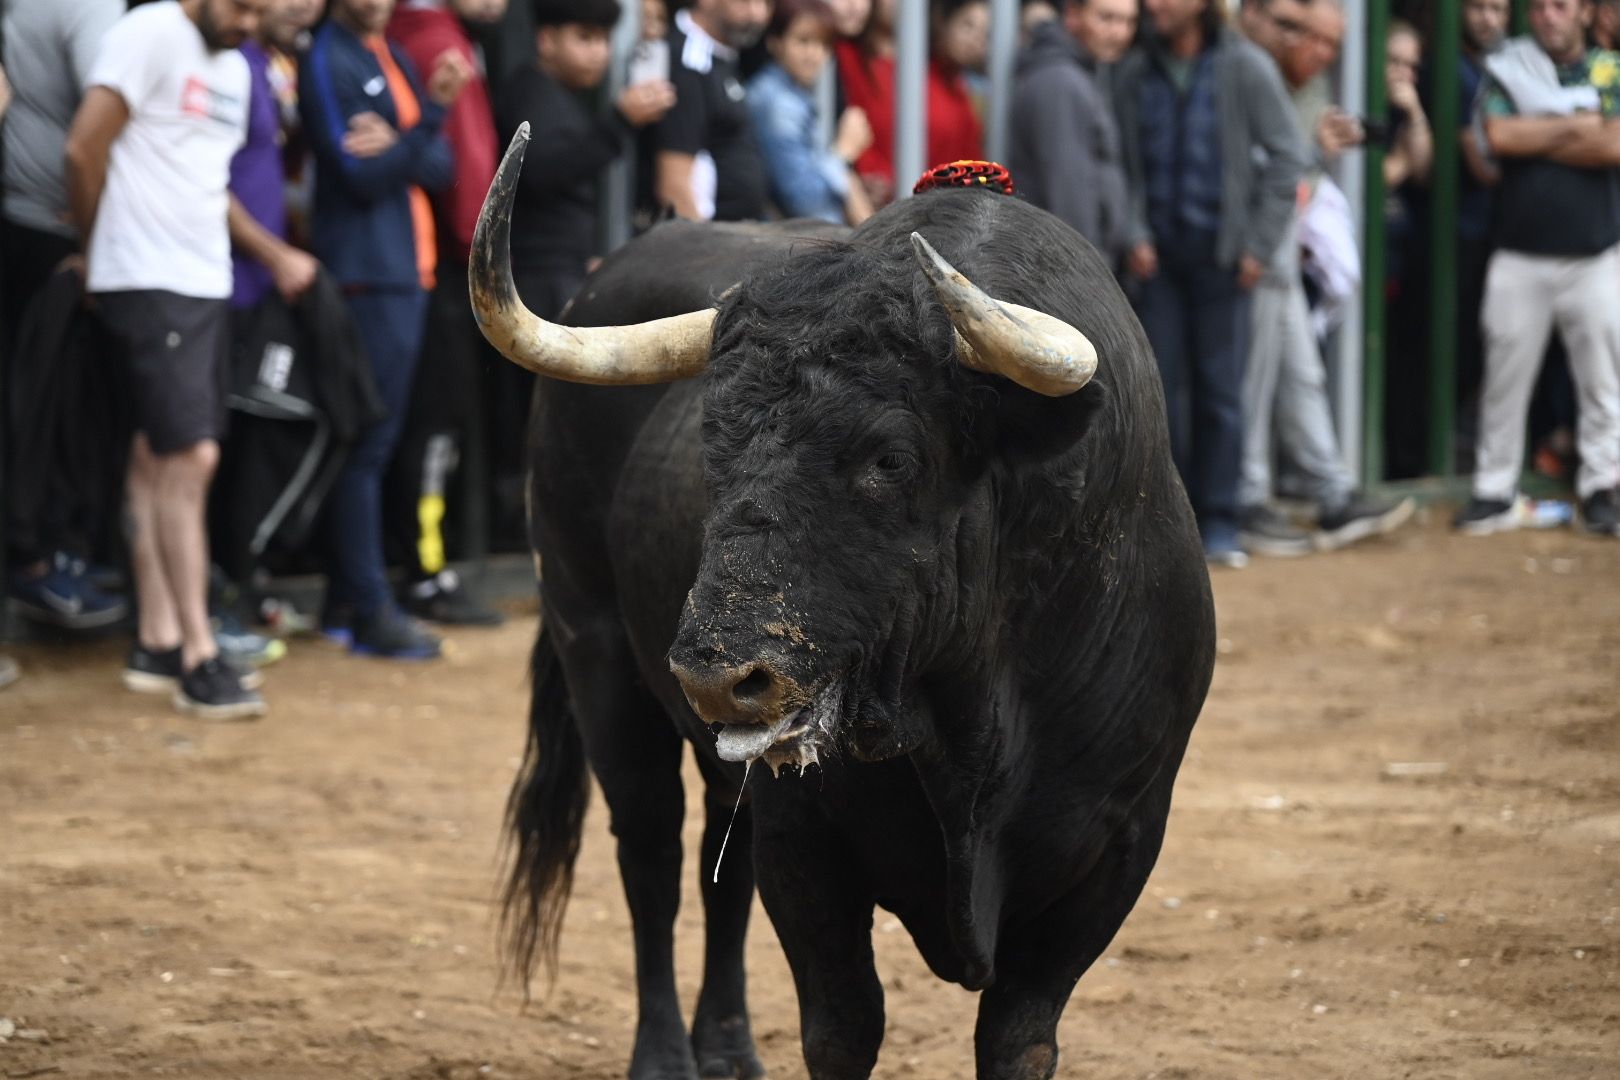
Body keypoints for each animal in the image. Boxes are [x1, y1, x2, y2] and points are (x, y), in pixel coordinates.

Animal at [479, 148, 1218, 1075]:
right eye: (713, 443)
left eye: (890, 458)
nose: (718, 676)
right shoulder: (806, 845)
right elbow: (842, 1026)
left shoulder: (1115, 851)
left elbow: (1018, 1039)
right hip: (598, 654)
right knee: (650, 851)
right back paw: (664, 1054)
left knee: (717, 865)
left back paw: (727, 1043)